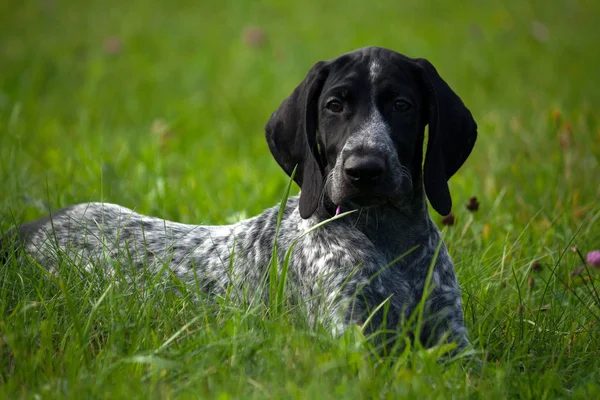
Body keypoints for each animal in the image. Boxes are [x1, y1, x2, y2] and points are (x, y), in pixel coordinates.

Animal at [7, 47, 478, 350]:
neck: (386, 237)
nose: (363, 169)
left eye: (402, 105)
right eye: (334, 105)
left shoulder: (453, 341)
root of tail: (24, 231)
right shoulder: (353, 337)